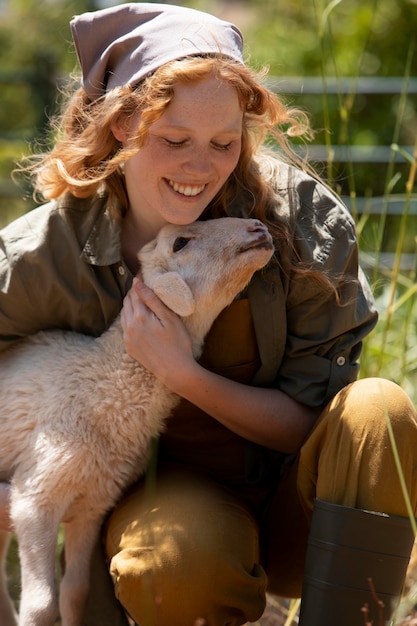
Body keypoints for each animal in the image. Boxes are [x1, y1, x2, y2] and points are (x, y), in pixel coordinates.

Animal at [0, 217, 272, 624]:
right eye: (180, 242)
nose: (258, 228)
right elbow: (42, 606)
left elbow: (75, 593)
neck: (104, 385)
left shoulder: (93, 501)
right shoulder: (35, 495)